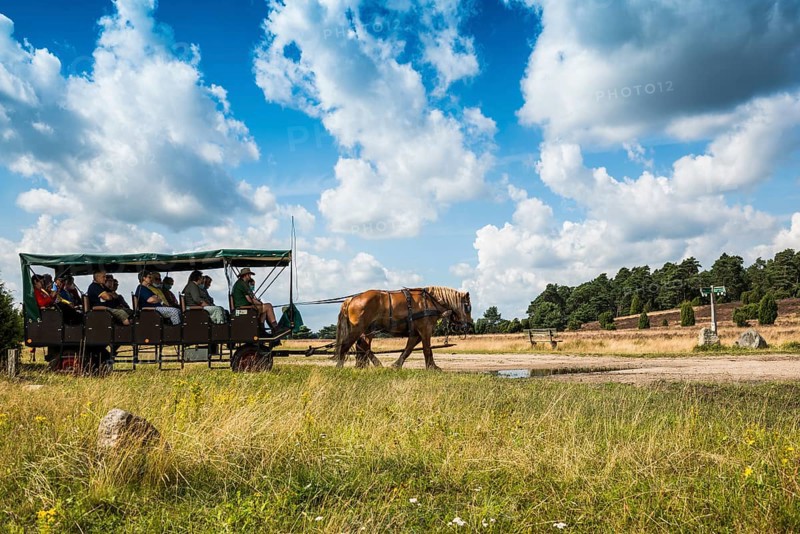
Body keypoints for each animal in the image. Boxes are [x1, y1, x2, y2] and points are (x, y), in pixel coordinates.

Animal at [334, 287, 472, 370]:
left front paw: (396, 365)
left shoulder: (416, 333)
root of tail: (351, 299)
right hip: (358, 328)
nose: (469, 324)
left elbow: (408, 350)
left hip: (368, 330)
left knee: (363, 346)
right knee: (346, 345)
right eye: (468, 307)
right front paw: (432, 367)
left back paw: (366, 365)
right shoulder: (425, 330)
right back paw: (340, 366)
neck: (430, 302)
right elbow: (427, 349)